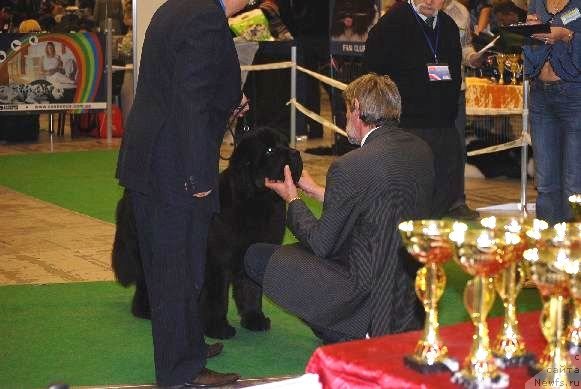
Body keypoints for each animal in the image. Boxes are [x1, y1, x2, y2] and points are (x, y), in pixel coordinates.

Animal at [114, 129, 304, 338]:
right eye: (269, 150)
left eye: (286, 143)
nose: (295, 153)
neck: (256, 203)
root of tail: (128, 192)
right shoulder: (216, 263)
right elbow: (217, 298)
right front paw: (217, 328)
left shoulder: (250, 254)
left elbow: (251, 290)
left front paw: (255, 319)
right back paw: (146, 311)